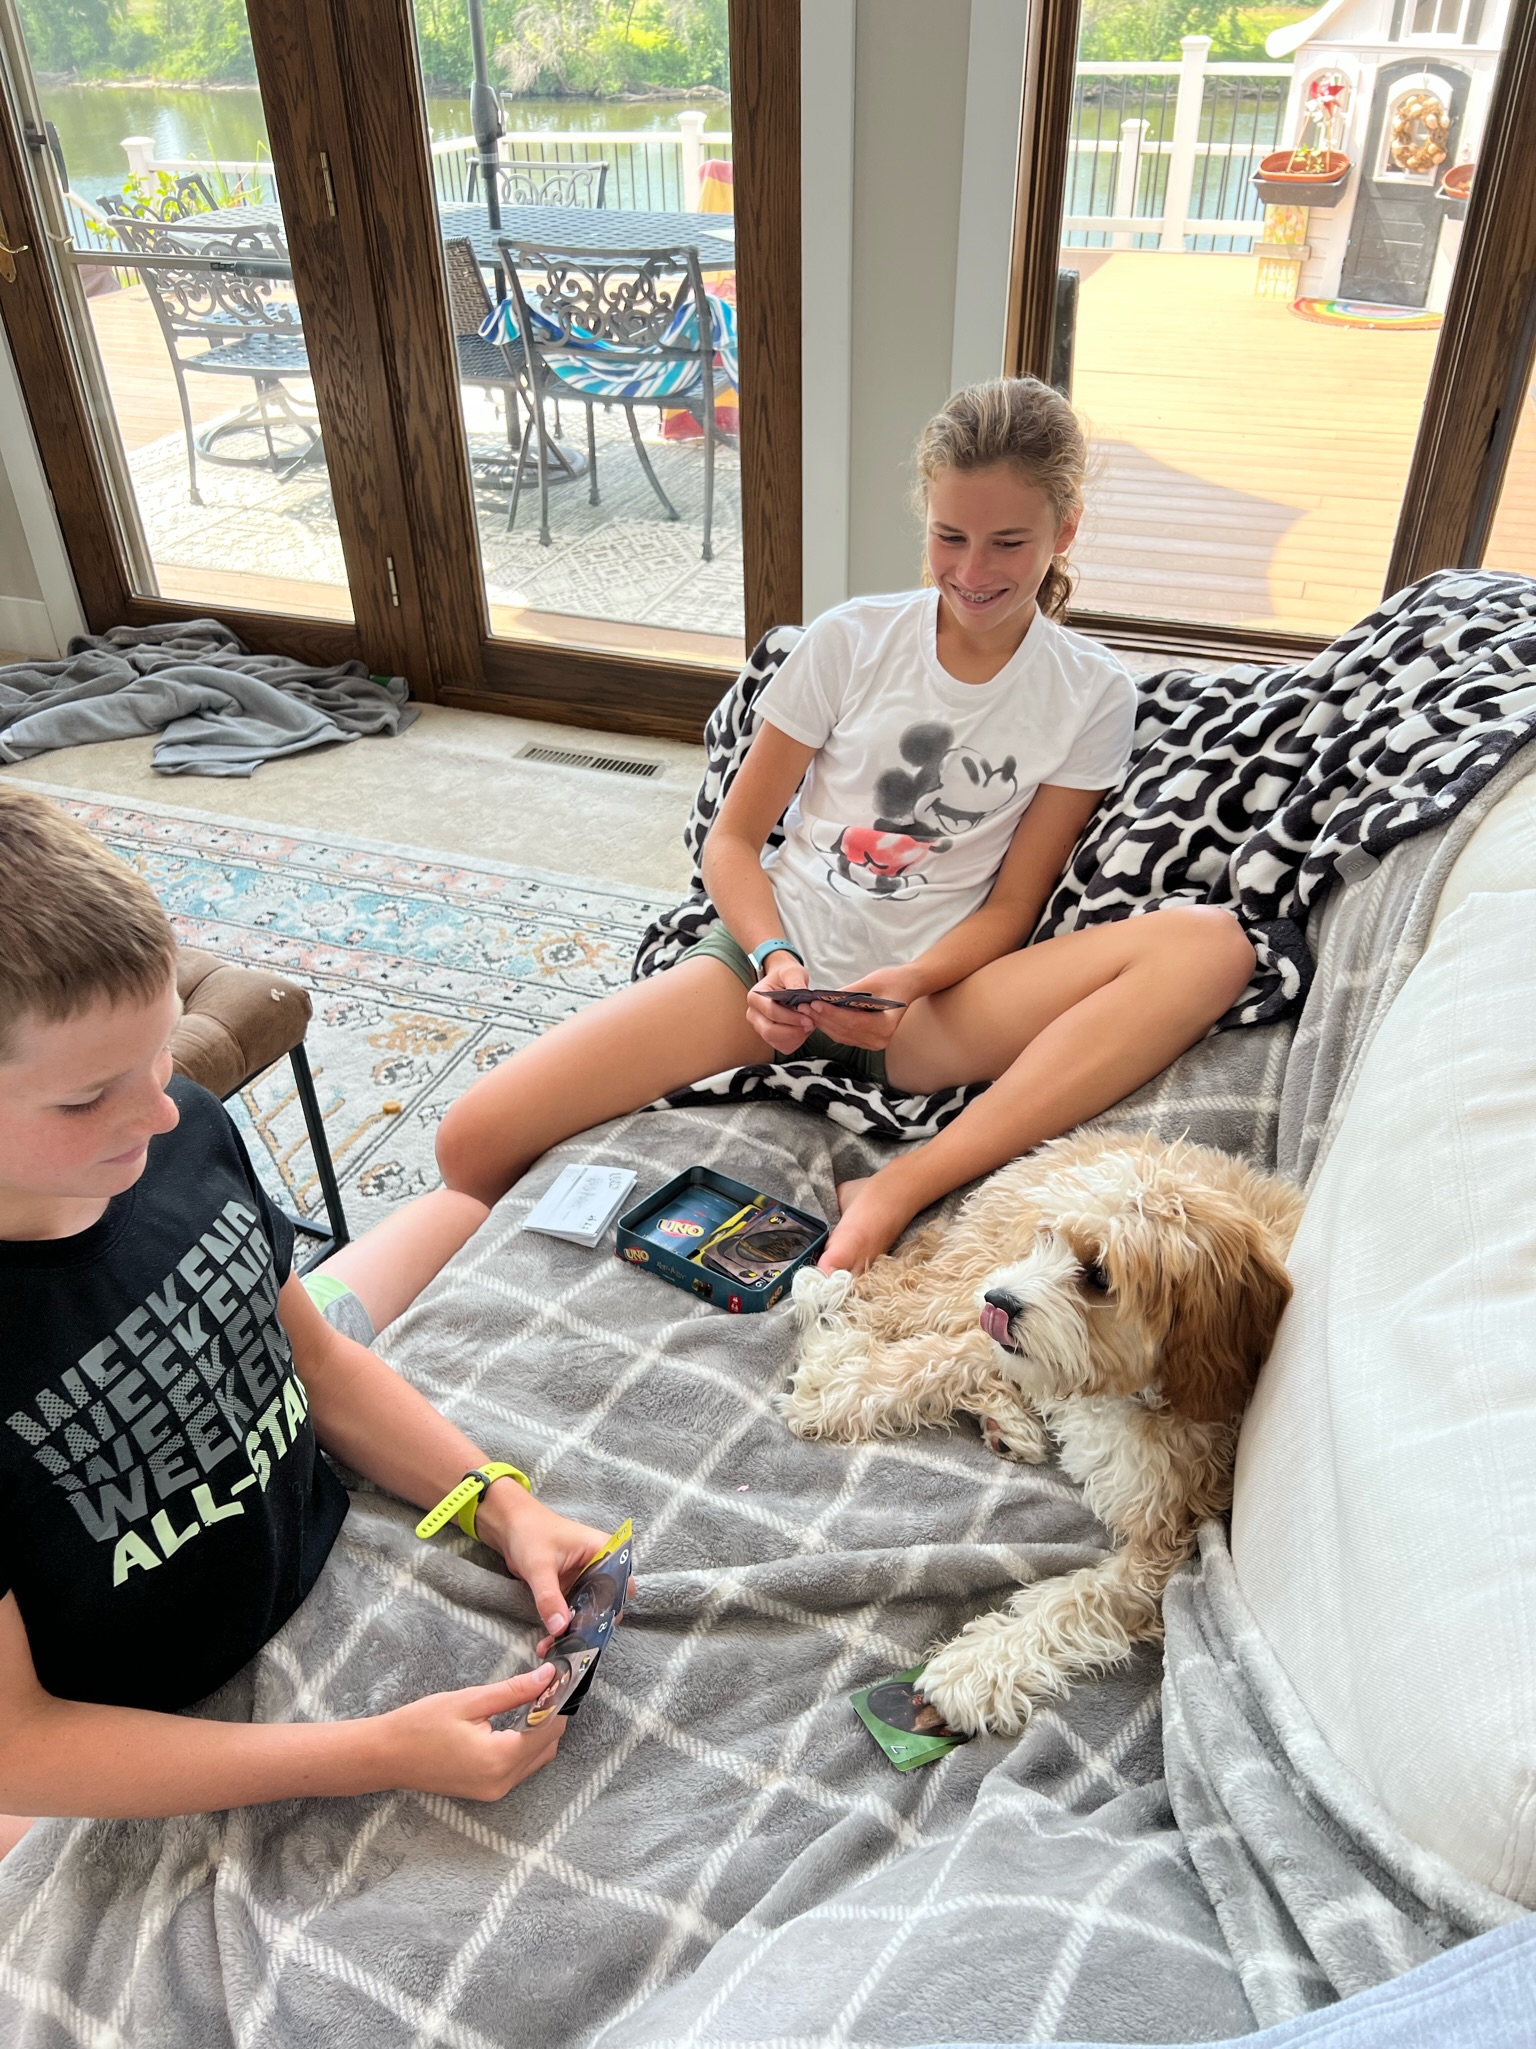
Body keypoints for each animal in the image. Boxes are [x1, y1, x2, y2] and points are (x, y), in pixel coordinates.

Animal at [783, 1132, 1303, 1735]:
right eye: (1047, 1238)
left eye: (1099, 1275)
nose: (1001, 1302)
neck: (1119, 1389)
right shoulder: (998, 1339)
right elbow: (931, 1360)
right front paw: (832, 1388)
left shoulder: (1170, 1539)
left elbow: (1082, 1599)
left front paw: (975, 1669)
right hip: (969, 1275)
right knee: (886, 1293)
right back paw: (829, 1307)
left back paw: (1006, 1421)